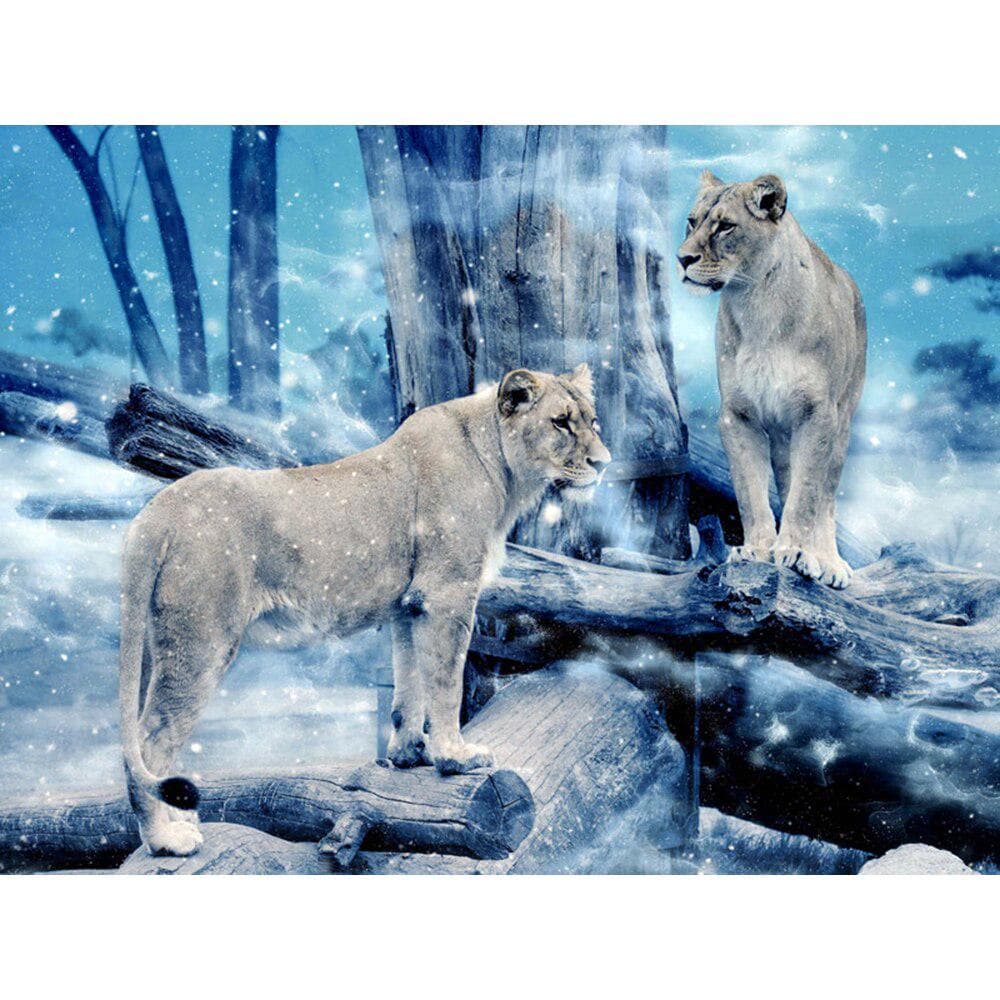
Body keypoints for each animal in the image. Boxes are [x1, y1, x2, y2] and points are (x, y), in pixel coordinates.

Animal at [119, 365, 610, 856]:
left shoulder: (410, 605)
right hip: (202, 641)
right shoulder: (447, 594)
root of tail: (154, 512)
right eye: (560, 423)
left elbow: (409, 683)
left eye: (592, 422)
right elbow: (445, 684)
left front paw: (409, 754)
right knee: (149, 743)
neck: (503, 470)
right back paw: (167, 840)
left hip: (158, 645)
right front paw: (456, 757)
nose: (603, 463)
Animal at [678, 171, 867, 588]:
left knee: (827, 498)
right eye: (692, 222)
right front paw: (756, 549)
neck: (755, 302)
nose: (683, 259)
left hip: (842, 421)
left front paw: (796, 552)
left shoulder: (818, 414)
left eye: (726, 226)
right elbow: (750, 492)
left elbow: (807, 496)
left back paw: (829, 561)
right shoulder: (737, 415)